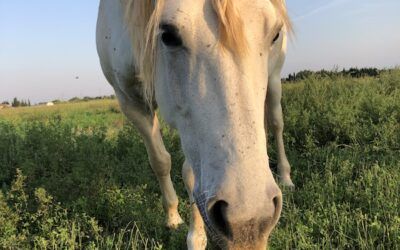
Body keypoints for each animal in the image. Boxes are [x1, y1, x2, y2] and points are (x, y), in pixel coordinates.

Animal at [95, 0, 292, 248]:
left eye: (275, 34)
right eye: (168, 35)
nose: (249, 223)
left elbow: (190, 173)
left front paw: (195, 237)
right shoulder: (130, 101)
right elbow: (160, 161)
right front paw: (172, 216)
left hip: (274, 79)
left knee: (276, 123)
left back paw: (285, 177)